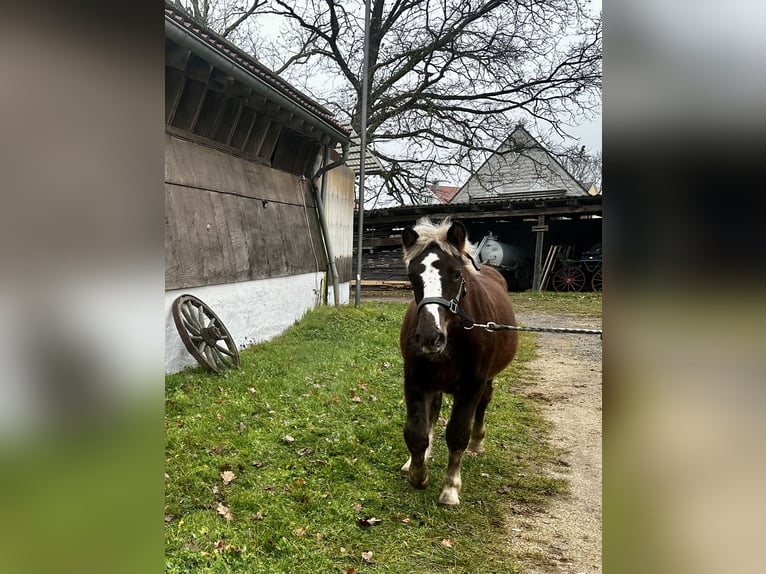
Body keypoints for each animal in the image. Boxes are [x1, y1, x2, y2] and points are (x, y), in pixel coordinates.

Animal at [400, 218, 520, 506]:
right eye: (412, 276)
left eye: (456, 274)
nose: (430, 337)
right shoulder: (415, 381)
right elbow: (416, 432)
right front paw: (418, 473)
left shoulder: (471, 386)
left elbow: (457, 435)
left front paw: (450, 489)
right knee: (433, 412)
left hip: (486, 380)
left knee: (484, 403)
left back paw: (477, 442)